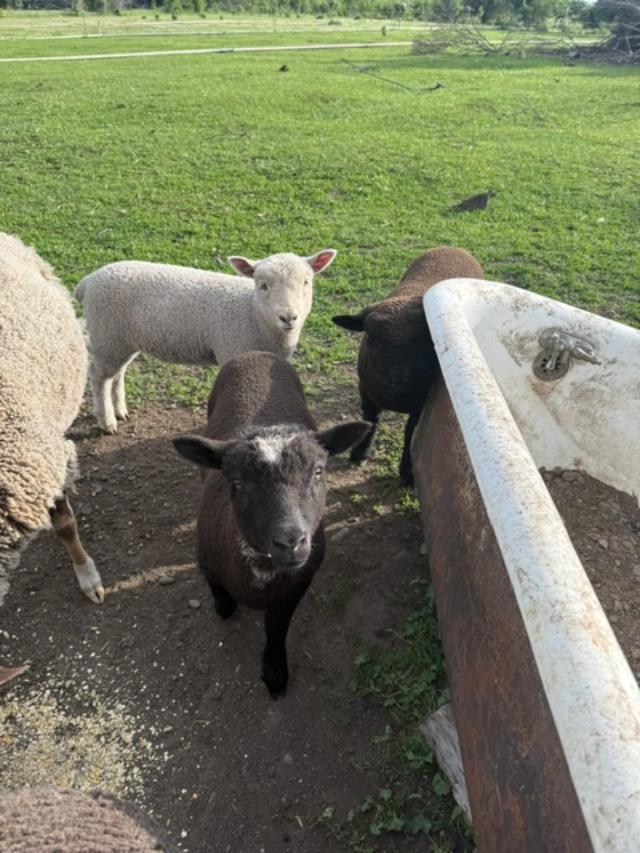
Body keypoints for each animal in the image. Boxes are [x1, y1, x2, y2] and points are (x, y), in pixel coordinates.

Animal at [75, 249, 337, 434]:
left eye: (306, 282)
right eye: (263, 285)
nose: (288, 317)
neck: (253, 313)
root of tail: (88, 281)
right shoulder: (233, 351)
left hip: (122, 341)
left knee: (117, 374)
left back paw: (120, 411)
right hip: (106, 335)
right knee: (99, 378)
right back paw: (107, 421)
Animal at [172, 351, 370, 697]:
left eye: (318, 471)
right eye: (236, 483)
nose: (290, 541)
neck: (260, 571)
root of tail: (253, 352)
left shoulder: (294, 588)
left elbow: (277, 628)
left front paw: (275, 672)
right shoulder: (207, 562)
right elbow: (221, 599)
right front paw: (224, 606)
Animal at [332, 247, 484, 486]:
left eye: (422, 341)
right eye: (373, 338)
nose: (397, 377)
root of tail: (453, 247)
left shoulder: (420, 404)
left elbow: (409, 432)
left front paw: (407, 471)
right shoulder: (367, 392)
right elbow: (371, 421)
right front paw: (360, 452)